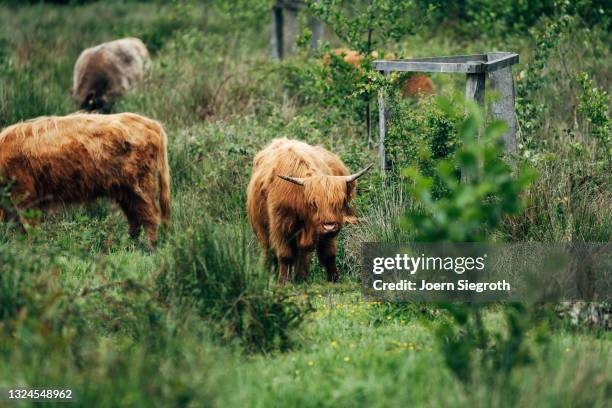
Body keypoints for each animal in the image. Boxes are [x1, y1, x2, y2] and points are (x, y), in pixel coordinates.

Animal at [0, 111, 170, 245]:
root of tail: (152, 124)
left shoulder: (24, 193)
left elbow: (29, 226)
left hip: (140, 186)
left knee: (150, 217)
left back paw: (150, 247)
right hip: (125, 190)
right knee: (134, 218)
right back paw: (129, 245)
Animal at [245, 137, 370, 284]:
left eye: (341, 201)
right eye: (313, 203)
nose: (329, 226)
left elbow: (328, 255)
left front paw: (333, 279)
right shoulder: (280, 226)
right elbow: (285, 256)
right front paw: (282, 282)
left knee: (302, 252)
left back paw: (300, 277)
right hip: (261, 228)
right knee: (268, 250)